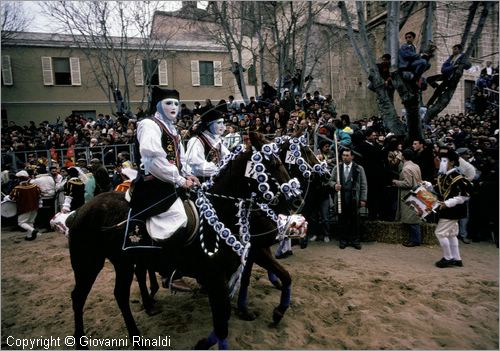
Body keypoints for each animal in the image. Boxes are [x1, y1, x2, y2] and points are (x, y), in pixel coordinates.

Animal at [68, 132, 302, 350]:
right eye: (273, 164)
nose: (297, 198)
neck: (221, 213)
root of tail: (80, 210)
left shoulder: (242, 261)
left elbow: (271, 282)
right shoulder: (216, 275)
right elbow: (222, 321)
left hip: (124, 262)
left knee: (122, 293)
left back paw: (142, 324)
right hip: (89, 263)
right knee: (81, 296)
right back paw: (85, 341)